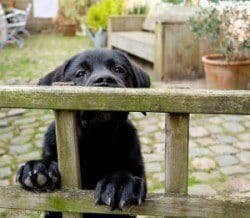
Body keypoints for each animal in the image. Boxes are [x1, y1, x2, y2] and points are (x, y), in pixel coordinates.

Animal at [17, 48, 150, 217]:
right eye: (80, 73)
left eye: (119, 69)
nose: (104, 80)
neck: (96, 138)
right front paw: (39, 167)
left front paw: (119, 182)